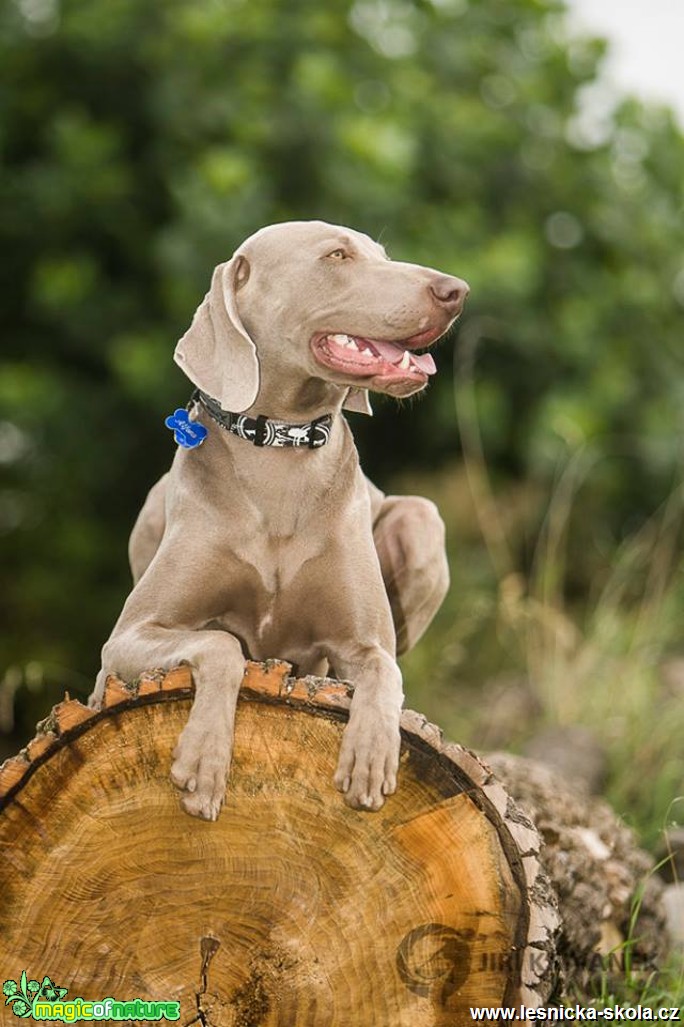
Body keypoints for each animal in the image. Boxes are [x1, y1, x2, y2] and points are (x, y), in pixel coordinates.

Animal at [90, 222, 466, 817]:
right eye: (337, 255)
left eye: (383, 254)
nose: (457, 291)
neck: (279, 446)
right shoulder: (125, 642)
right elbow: (220, 646)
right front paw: (204, 762)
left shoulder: (366, 644)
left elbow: (385, 671)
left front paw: (370, 756)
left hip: (419, 519)